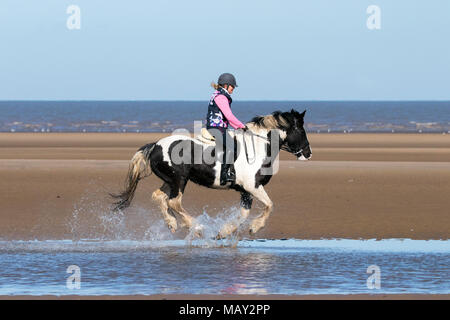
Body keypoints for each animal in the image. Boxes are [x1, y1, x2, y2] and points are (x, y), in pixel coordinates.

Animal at [110, 109, 312, 238]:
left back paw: (172, 223)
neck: (258, 146)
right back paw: (196, 227)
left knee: (160, 197)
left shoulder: (246, 191)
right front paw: (254, 228)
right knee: (174, 202)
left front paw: (224, 232)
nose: (308, 153)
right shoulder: (252, 186)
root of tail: (156, 145)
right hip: (179, 180)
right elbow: (270, 205)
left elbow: (244, 214)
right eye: (300, 129)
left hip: (171, 180)